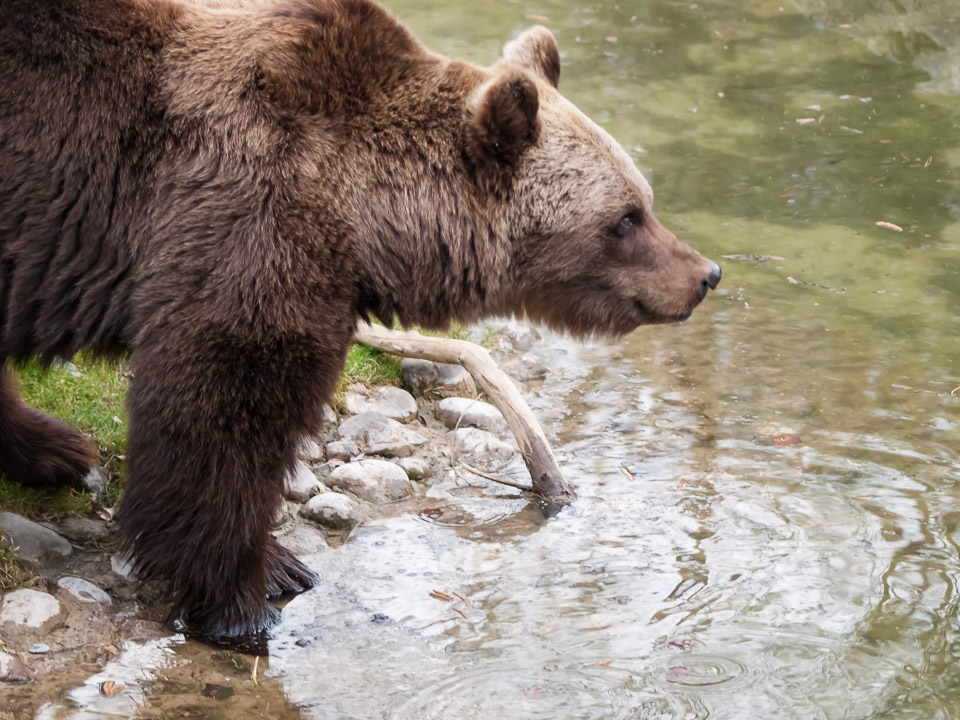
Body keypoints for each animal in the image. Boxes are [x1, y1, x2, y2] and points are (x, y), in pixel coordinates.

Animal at [0, 0, 720, 648]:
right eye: (626, 217)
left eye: (644, 202)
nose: (705, 273)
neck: (369, 218)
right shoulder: (250, 221)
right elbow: (223, 414)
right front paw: (246, 601)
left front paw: (272, 569)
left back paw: (53, 447)